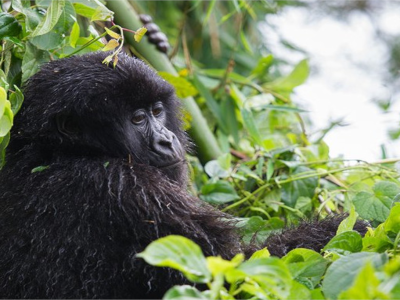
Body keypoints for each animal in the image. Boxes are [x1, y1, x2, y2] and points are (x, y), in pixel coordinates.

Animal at [0, 51, 366, 298]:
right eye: (137, 119)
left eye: (157, 111)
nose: (167, 140)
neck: (59, 152)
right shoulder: (127, 188)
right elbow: (237, 270)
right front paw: (353, 226)